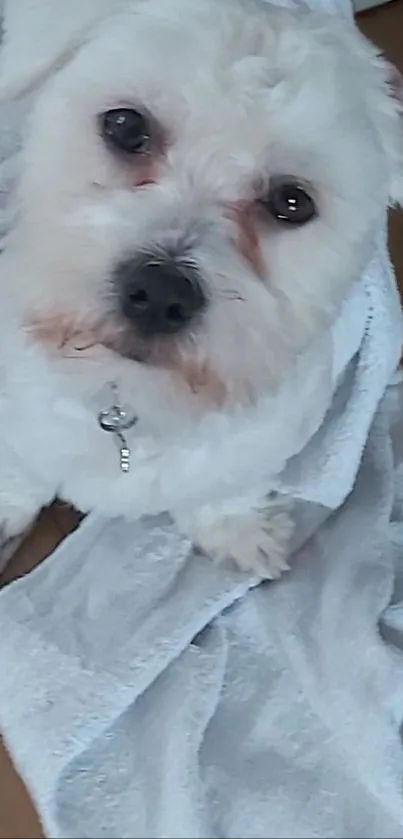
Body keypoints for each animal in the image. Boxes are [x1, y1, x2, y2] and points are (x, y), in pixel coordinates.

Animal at [0, 0, 400, 576]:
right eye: (125, 125)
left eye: (292, 201)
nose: (160, 294)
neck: (129, 397)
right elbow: (21, 469)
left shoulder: (259, 442)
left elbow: (225, 488)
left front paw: (235, 527)